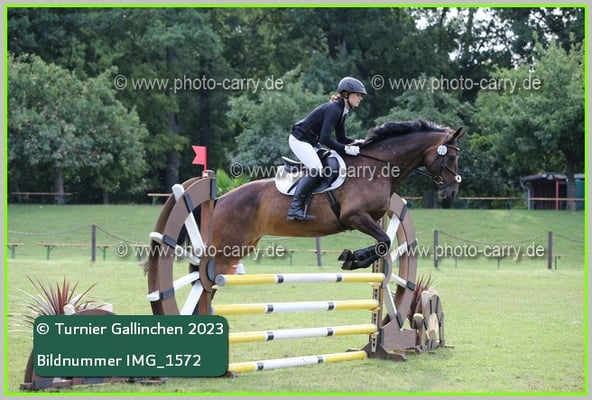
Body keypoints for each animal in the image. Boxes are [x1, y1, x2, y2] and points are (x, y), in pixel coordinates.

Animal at [208, 119, 464, 275]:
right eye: (451, 158)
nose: (451, 192)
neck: (376, 167)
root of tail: (220, 200)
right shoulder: (354, 216)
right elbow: (384, 241)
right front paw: (354, 258)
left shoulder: (371, 218)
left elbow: (382, 245)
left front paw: (352, 257)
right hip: (228, 247)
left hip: (243, 245)